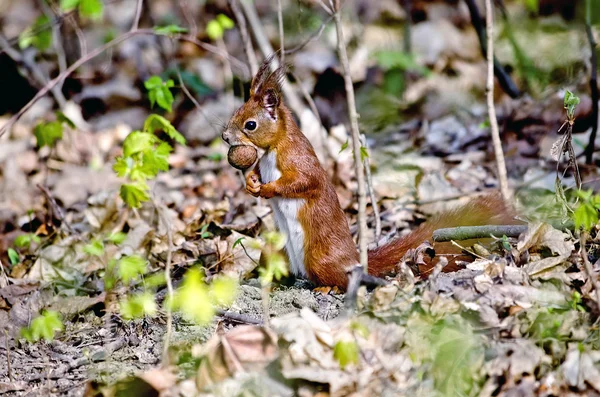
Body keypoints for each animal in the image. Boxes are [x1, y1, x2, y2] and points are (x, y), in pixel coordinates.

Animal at [223, 59, 512, 288]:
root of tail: (354, 259)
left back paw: (326, 288)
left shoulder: (299, 159)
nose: (225, 136)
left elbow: (304, 181)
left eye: (251, 125)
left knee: (339, 279)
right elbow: (258, 170)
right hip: (275, 252)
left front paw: (268, 188)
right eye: (236, 112)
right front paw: (252, 183)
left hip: (319, 259)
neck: (272, 148)